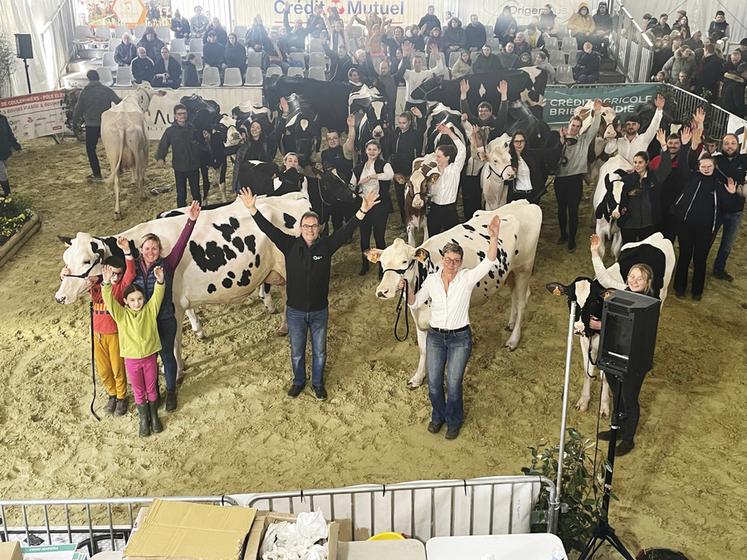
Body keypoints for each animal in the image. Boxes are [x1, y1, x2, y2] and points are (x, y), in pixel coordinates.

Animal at [53, 192, 310, 380]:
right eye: (66, 259)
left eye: (87, 261)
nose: (60, 297)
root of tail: (293, 197)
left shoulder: (173, 306)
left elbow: (173, 343)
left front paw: (175, 372)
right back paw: (284, 327)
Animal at [100, 83, 163, 219]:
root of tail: (121, 122)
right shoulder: (145, 149)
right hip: (138, 151)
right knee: (139, 173)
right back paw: (142, 195)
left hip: (112, 155)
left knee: (117, 181)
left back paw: (117, 211)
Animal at [372, 201, 540, 390]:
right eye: (382, 263)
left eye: (404, 262)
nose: (382, 291)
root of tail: (525, 202)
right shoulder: (418, 316)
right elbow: (423, 349)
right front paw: (417, 377)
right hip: (510, 272)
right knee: (515, 296)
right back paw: (510, 324)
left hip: (524, 268)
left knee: (522, 301)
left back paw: (513, 340)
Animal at [544, 232, 676, 416]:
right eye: (570, 300)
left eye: (593, 301)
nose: (578, 328)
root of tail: (658, 236)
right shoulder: (584, 340)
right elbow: (587, 371)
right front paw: (584, 401)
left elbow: (605, 376)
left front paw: (604, 406)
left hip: (663, 298)